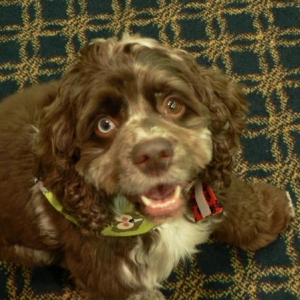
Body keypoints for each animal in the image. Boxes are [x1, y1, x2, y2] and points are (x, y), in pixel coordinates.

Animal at [0, 34, 292, 298]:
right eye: (104, 124)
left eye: (173, 105)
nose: (153, 154)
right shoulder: (113, 278)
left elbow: (234, 201)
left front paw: (273, 212)